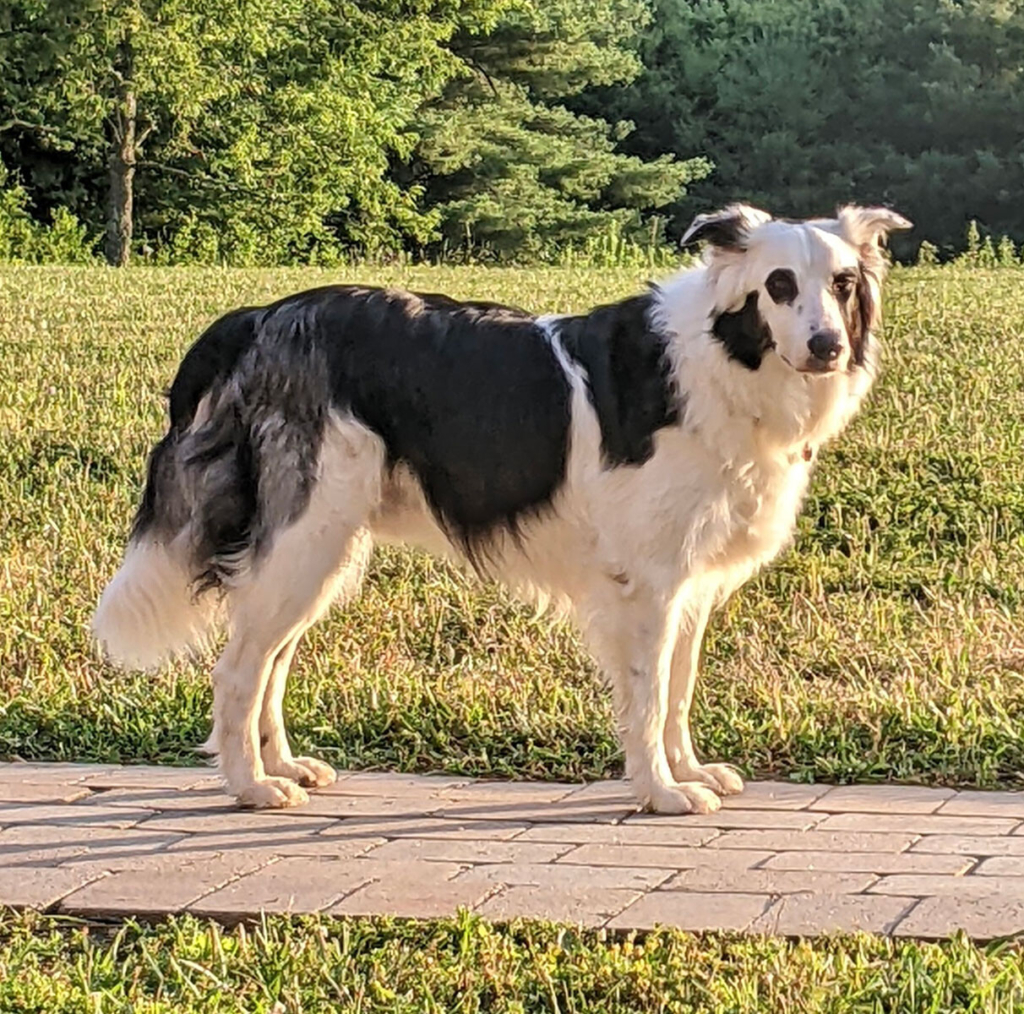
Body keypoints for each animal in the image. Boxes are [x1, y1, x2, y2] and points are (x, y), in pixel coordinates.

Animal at [92, 204, 910, 814]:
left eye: (843, 284)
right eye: (779, 284)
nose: (827, 346)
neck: (719, 358)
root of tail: (260, 316)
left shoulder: (691, 582)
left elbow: (678, 691)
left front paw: (689, 771)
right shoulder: (646, 585)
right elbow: (648, 698)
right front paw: (660, 791)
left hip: (320, 551)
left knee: (271, 662)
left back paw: (285, 768)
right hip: (306, 539)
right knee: (239, 669)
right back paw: (251, 786)